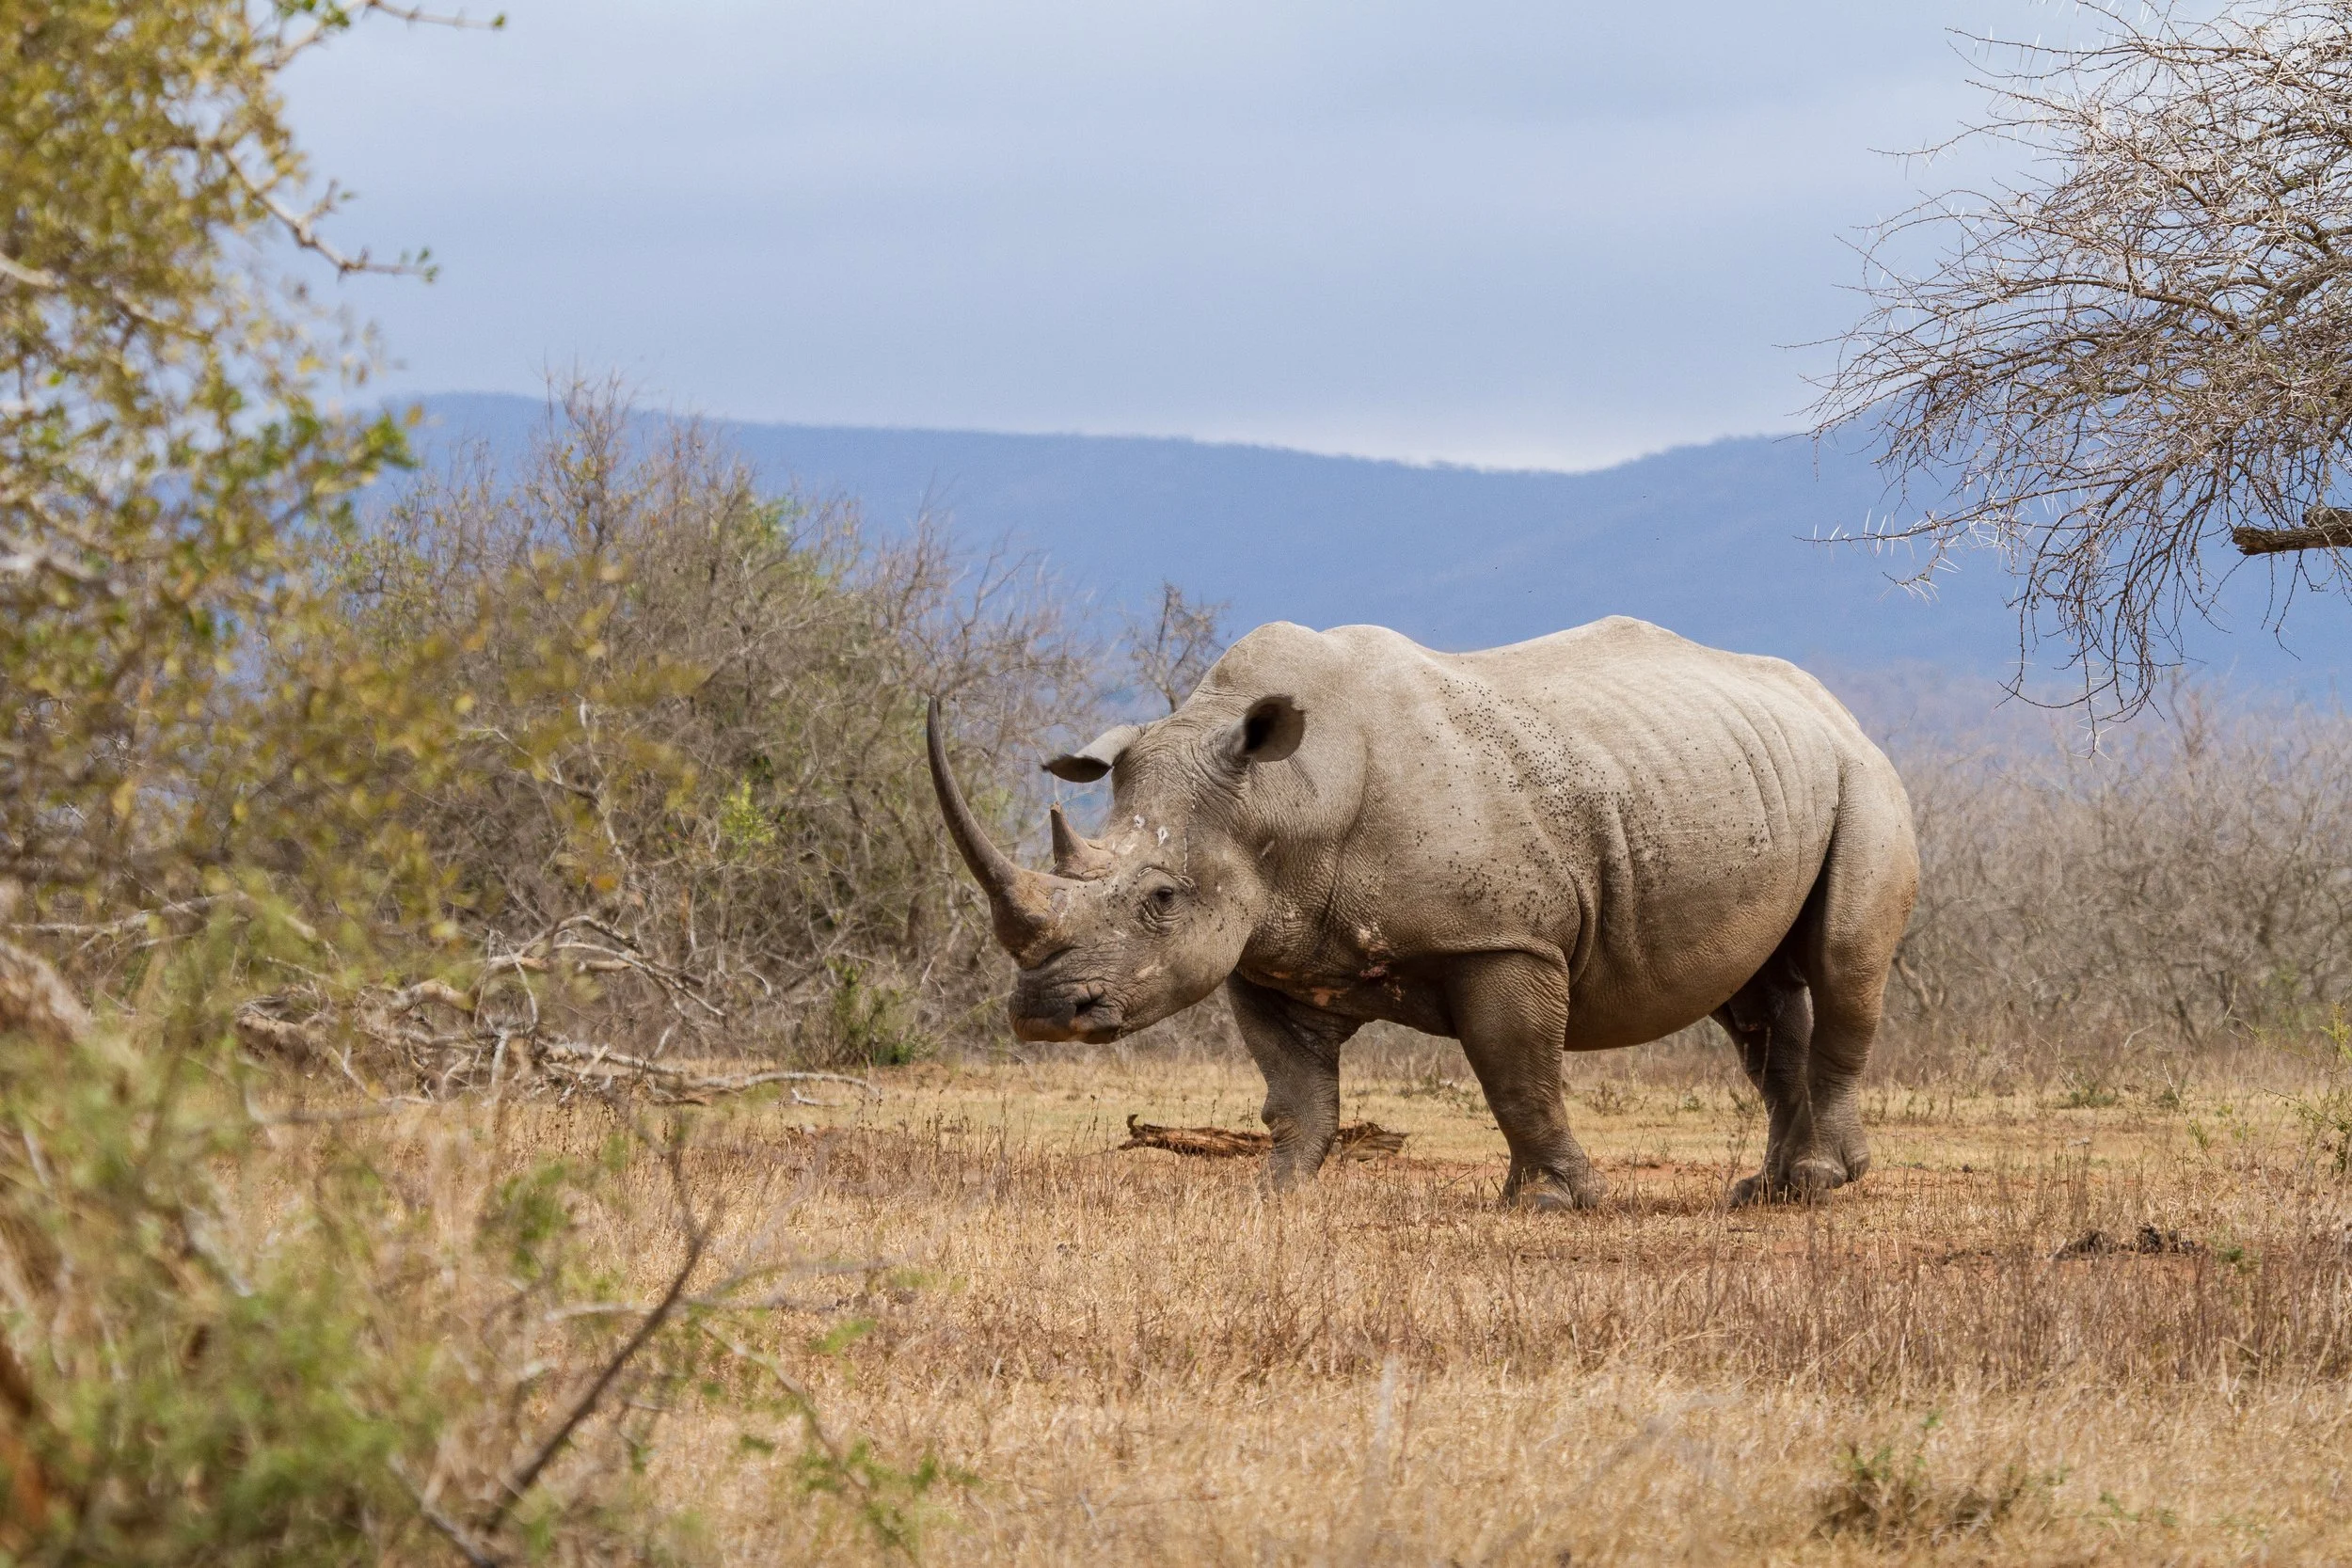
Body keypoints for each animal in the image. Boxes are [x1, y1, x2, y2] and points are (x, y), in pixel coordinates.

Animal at [926, 616, 1918, 1208]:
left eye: (1161, 899)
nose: (1046, 1014)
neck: (1282, 798)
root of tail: (1834, 710)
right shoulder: (1265, 946)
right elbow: (1294, 1090)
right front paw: (1276, 1192)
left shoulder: (1503, 939)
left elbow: (1516, 1072)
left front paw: (1551, 1202)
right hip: (1755, 778)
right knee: (1756, 1004)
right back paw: (1773, 1190)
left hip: (1866, 781)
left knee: (1841, 967)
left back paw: (1819, 1183)